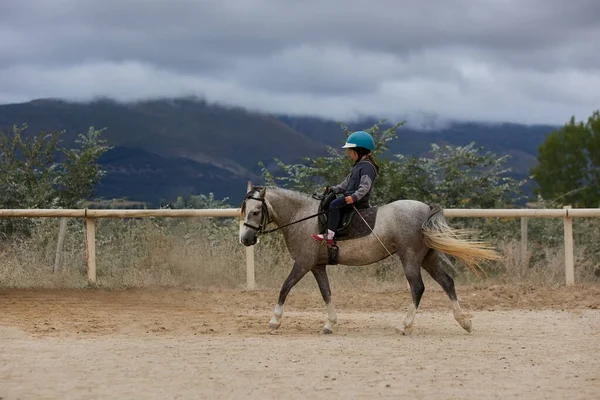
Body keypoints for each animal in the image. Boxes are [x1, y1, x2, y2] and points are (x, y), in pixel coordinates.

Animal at [239, 181, 502, 334]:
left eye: (256, 211)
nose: (246, 239)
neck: (302, 216)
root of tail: (425, 208)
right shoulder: (317, 266)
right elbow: (326, 292)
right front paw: (330, 324)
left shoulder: (303, 263)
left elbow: (285, 287)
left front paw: (274, 321)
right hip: (428, 258)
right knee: (447, 282)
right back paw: (464, 321)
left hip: (410, 258)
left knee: (418, 287)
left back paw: (404, 326)